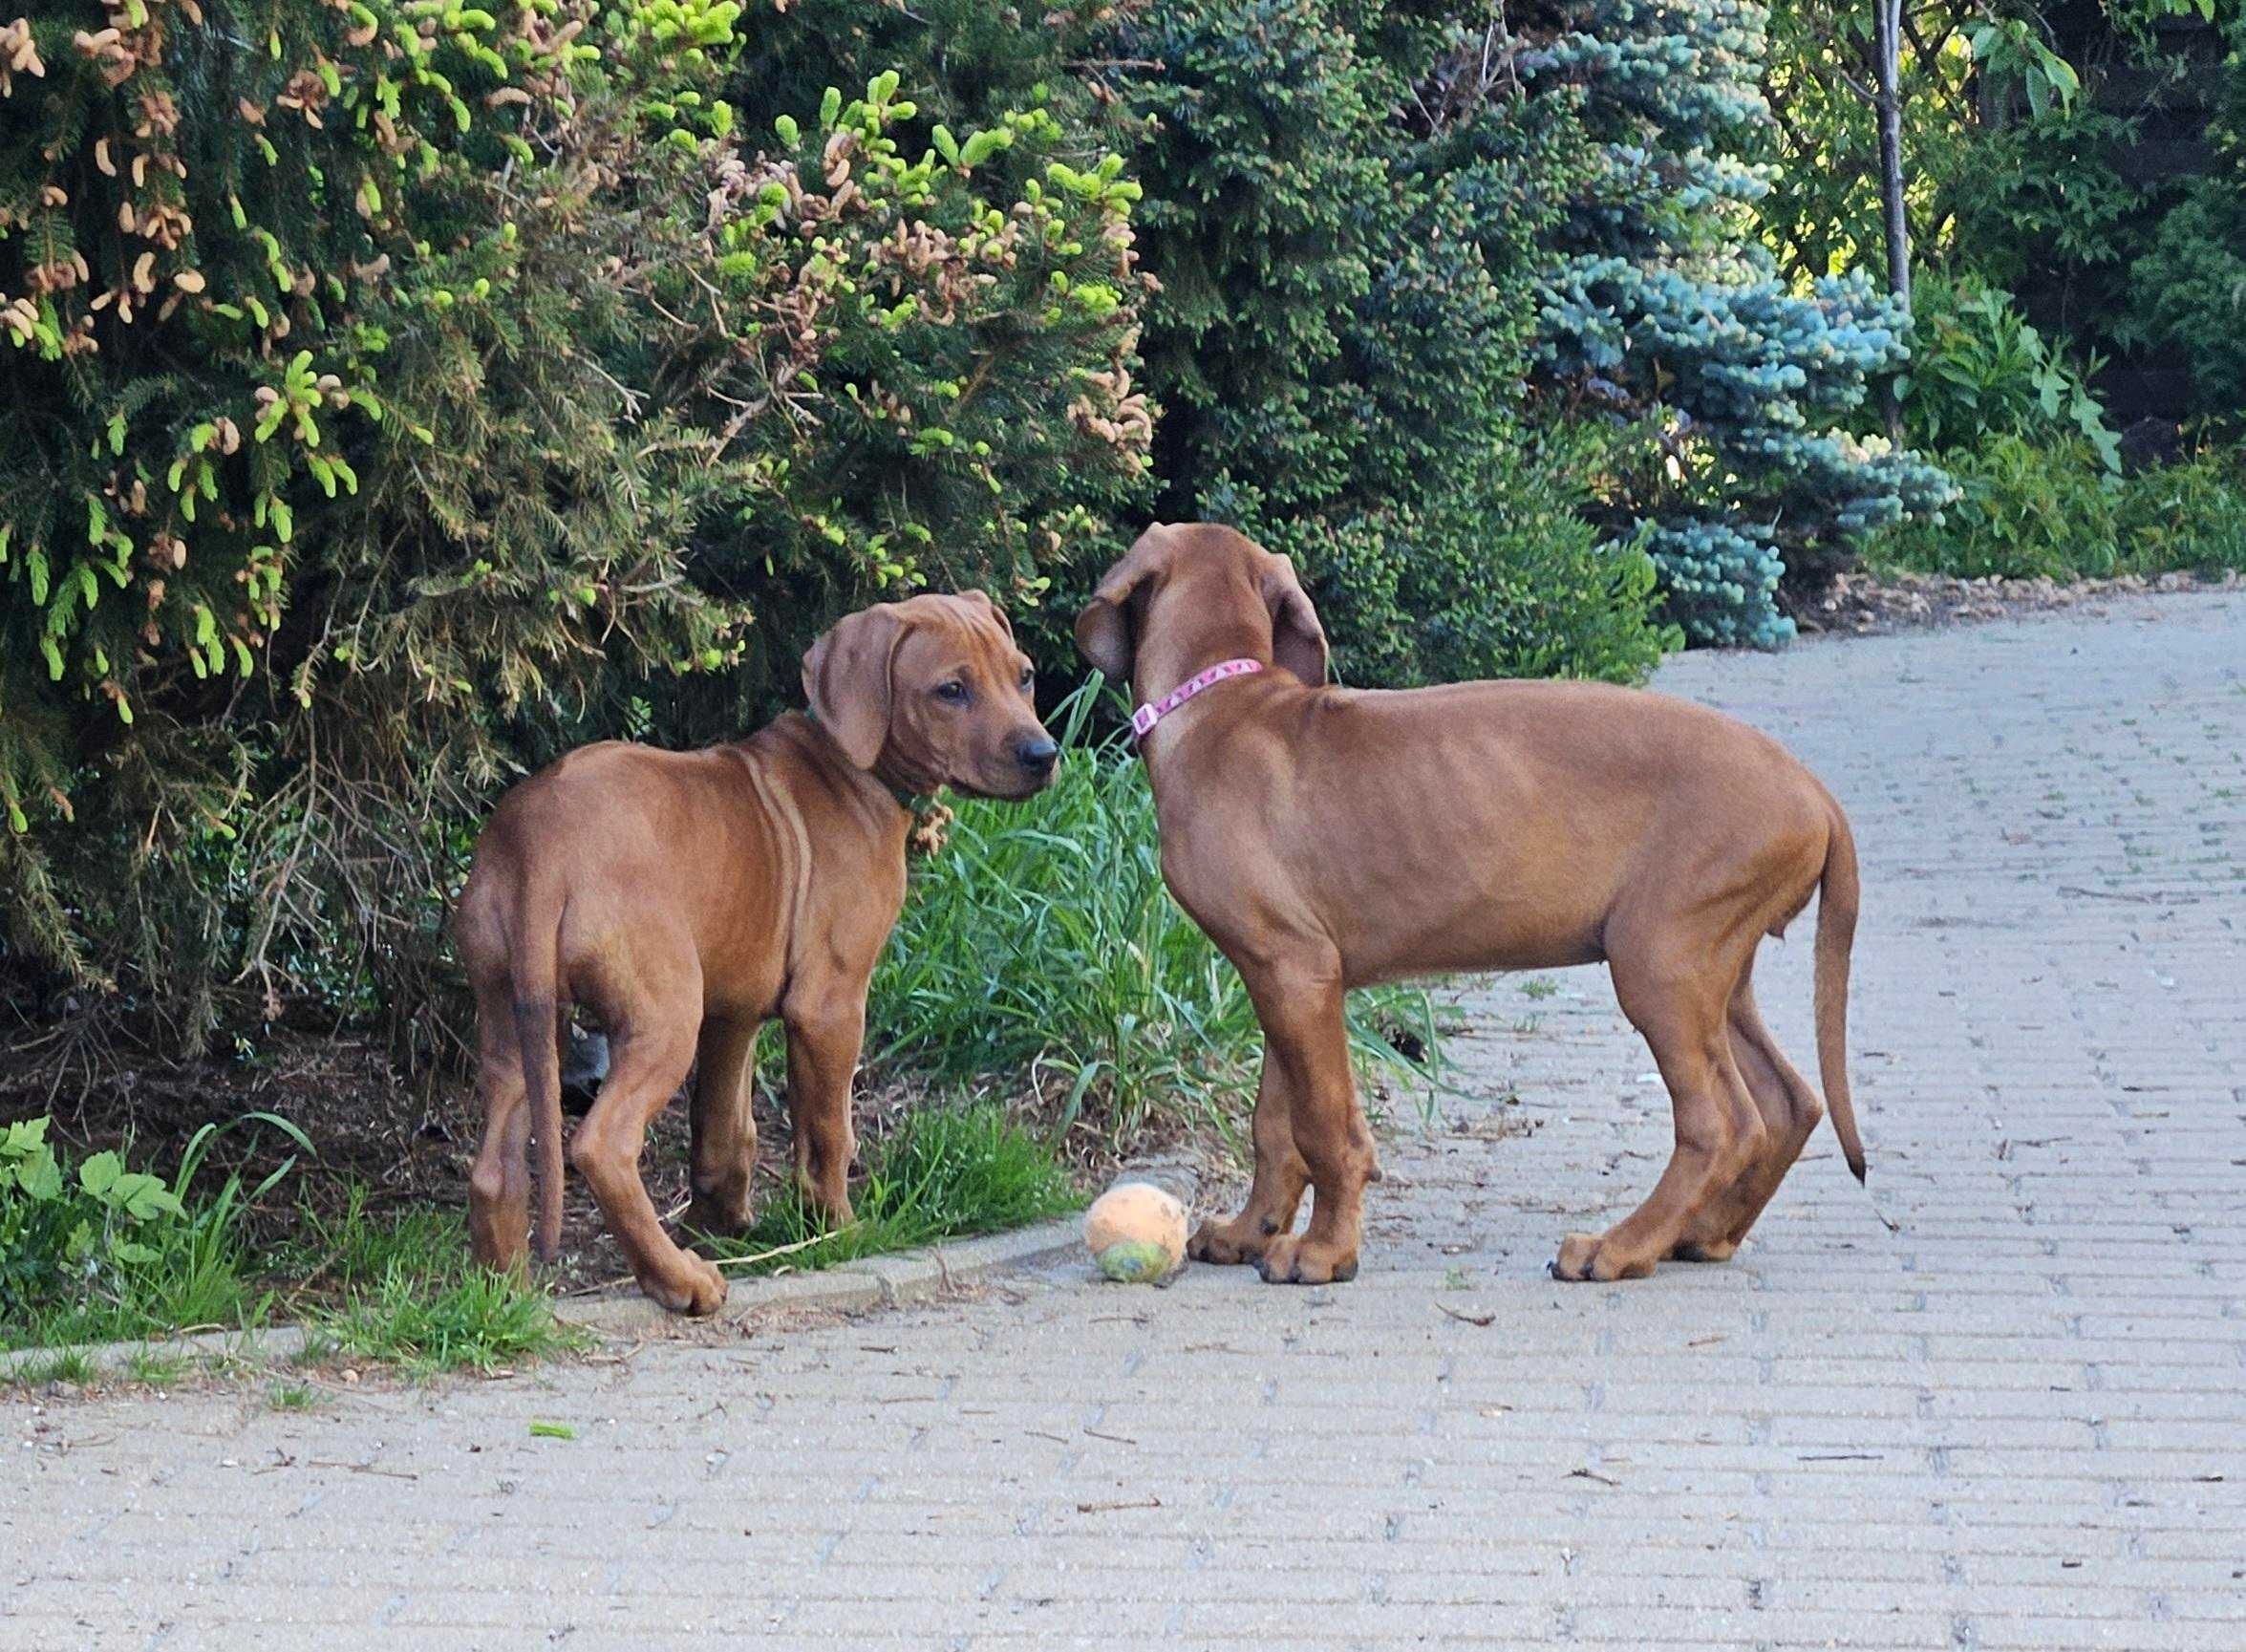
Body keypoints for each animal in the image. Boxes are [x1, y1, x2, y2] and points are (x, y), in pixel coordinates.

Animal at [1078, 524, 1869, 1285]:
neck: (1222, 704)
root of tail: (1815, 792)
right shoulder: (1282, 973)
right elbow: (1275, 1125)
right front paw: (1249, 1231)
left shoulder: (1294, 967)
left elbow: (1326, 1128)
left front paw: (1324, 1253)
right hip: (1713, 963)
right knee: (1789, 1100)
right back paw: (1701, 1233)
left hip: (1657, 961)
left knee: (1721, 1122)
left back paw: (1619, 1246)